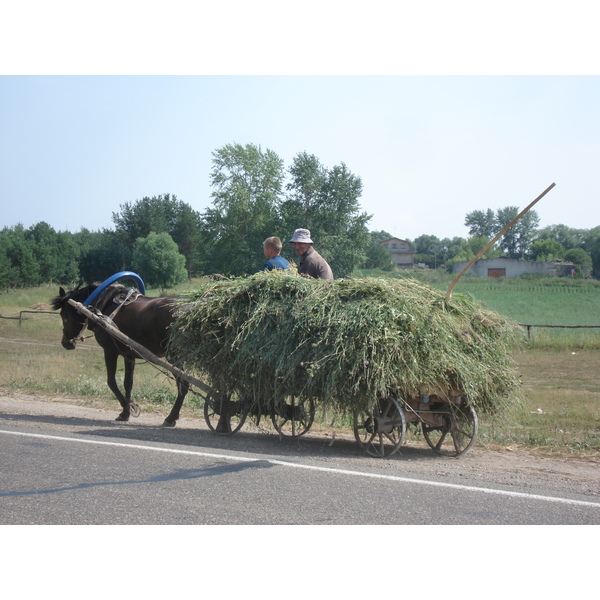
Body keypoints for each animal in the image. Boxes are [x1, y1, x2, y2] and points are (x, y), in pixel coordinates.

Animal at [51, 282, 189, 426]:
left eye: (63, 315)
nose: (66, 343)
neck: (103, 306)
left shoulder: (109, 351)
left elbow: (111, 381)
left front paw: (128, 407)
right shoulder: (129, 356)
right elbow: (128, 383)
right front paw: (125, 413)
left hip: (175, 357)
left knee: (183, 384)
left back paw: (170, 418)